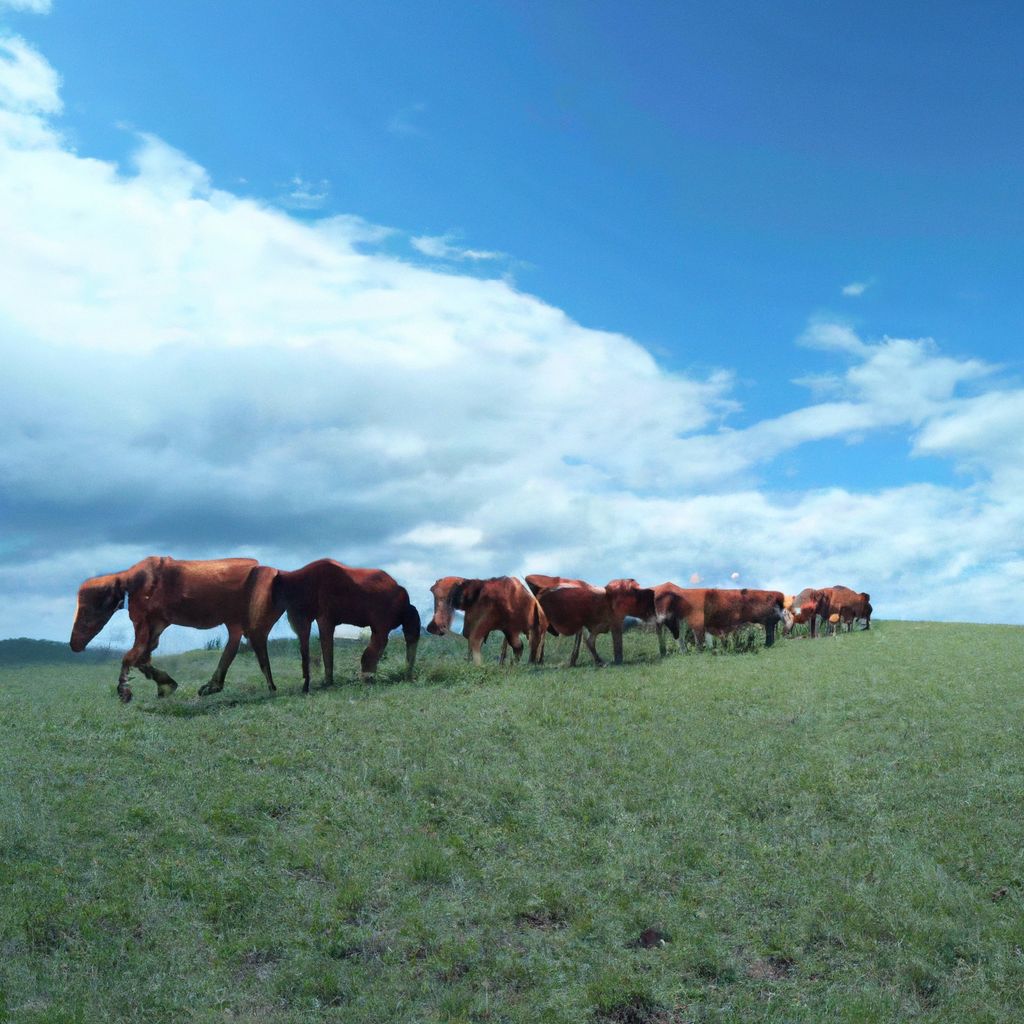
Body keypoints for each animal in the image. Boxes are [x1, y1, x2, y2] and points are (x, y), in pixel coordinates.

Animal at [70, 557, 282, 700]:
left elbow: (130, 657)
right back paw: (216, 686)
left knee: (252, 648)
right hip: (235, 623)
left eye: (87, 609)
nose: (74, 644)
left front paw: (125, 691)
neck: (134, 581)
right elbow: (142, 658)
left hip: (247, 623)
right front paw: (165, 684)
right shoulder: (156, 625)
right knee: (238, 648)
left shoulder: (144, 623)